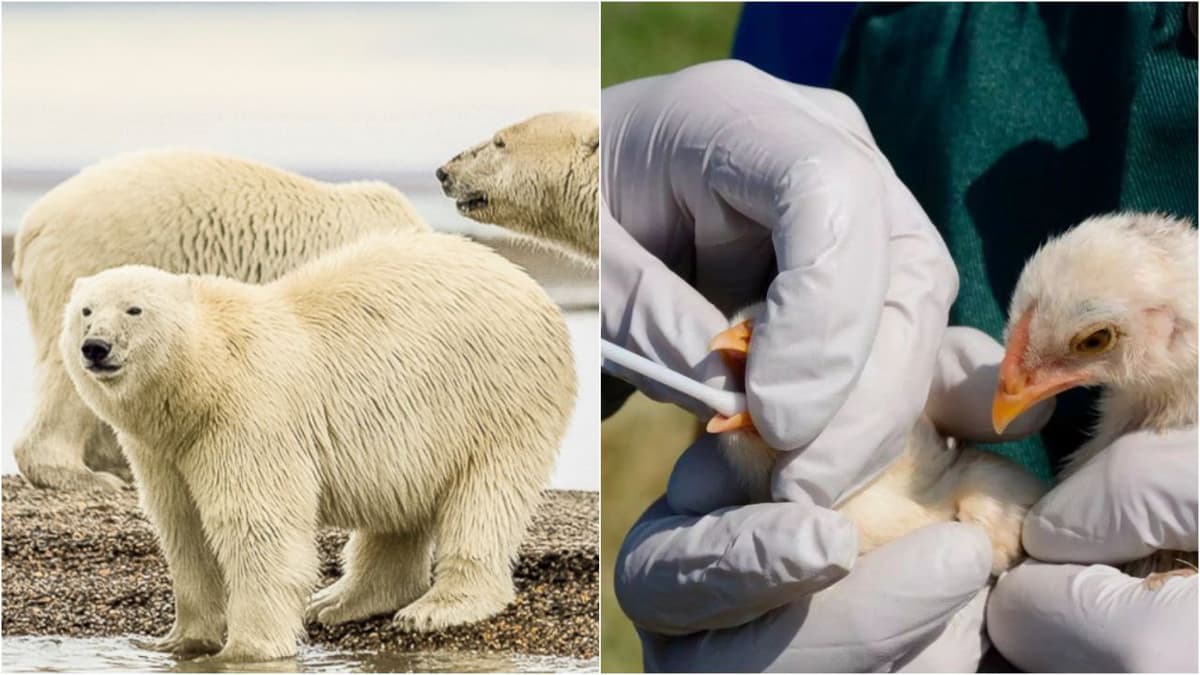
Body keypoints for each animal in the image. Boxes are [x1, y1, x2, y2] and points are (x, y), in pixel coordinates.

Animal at [59, 231, 577, 663]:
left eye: (134, 309)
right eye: (86, 310)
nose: (96, 347)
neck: (204, 379)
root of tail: (529, 285)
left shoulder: (247, 418)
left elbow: (257, 526)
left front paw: (247, 648)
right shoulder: (164, 448)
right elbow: (183, 527)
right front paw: (180, 639)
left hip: (496, 395)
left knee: (485, 497)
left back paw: (436, 608)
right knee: (398, 509)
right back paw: (339, 601)